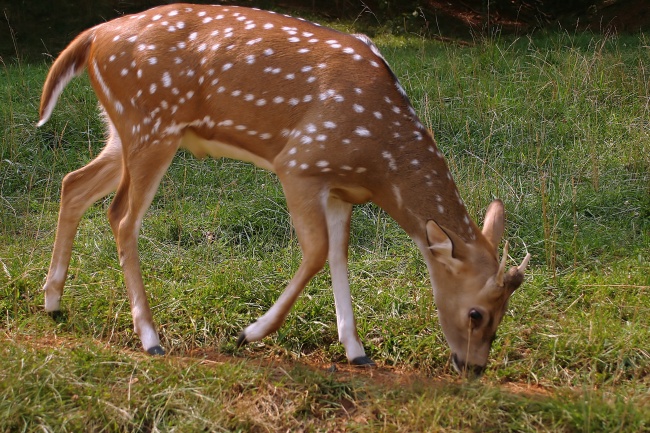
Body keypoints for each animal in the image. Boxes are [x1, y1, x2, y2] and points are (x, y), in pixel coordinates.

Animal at [38, 3, 528, 376]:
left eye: (505, 313)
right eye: (477, 313)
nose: (474, 367)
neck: (378, 161)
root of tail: (92, 37)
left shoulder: (340, 190)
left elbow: (340, 255)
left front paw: (356, 350)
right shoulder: (299, 163)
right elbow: (315, 252)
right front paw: (249, 333)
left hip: (124, 131)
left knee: (73, 183)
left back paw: (54, 301)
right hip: (150, 124)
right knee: (121, 215)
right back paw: (149, 337)